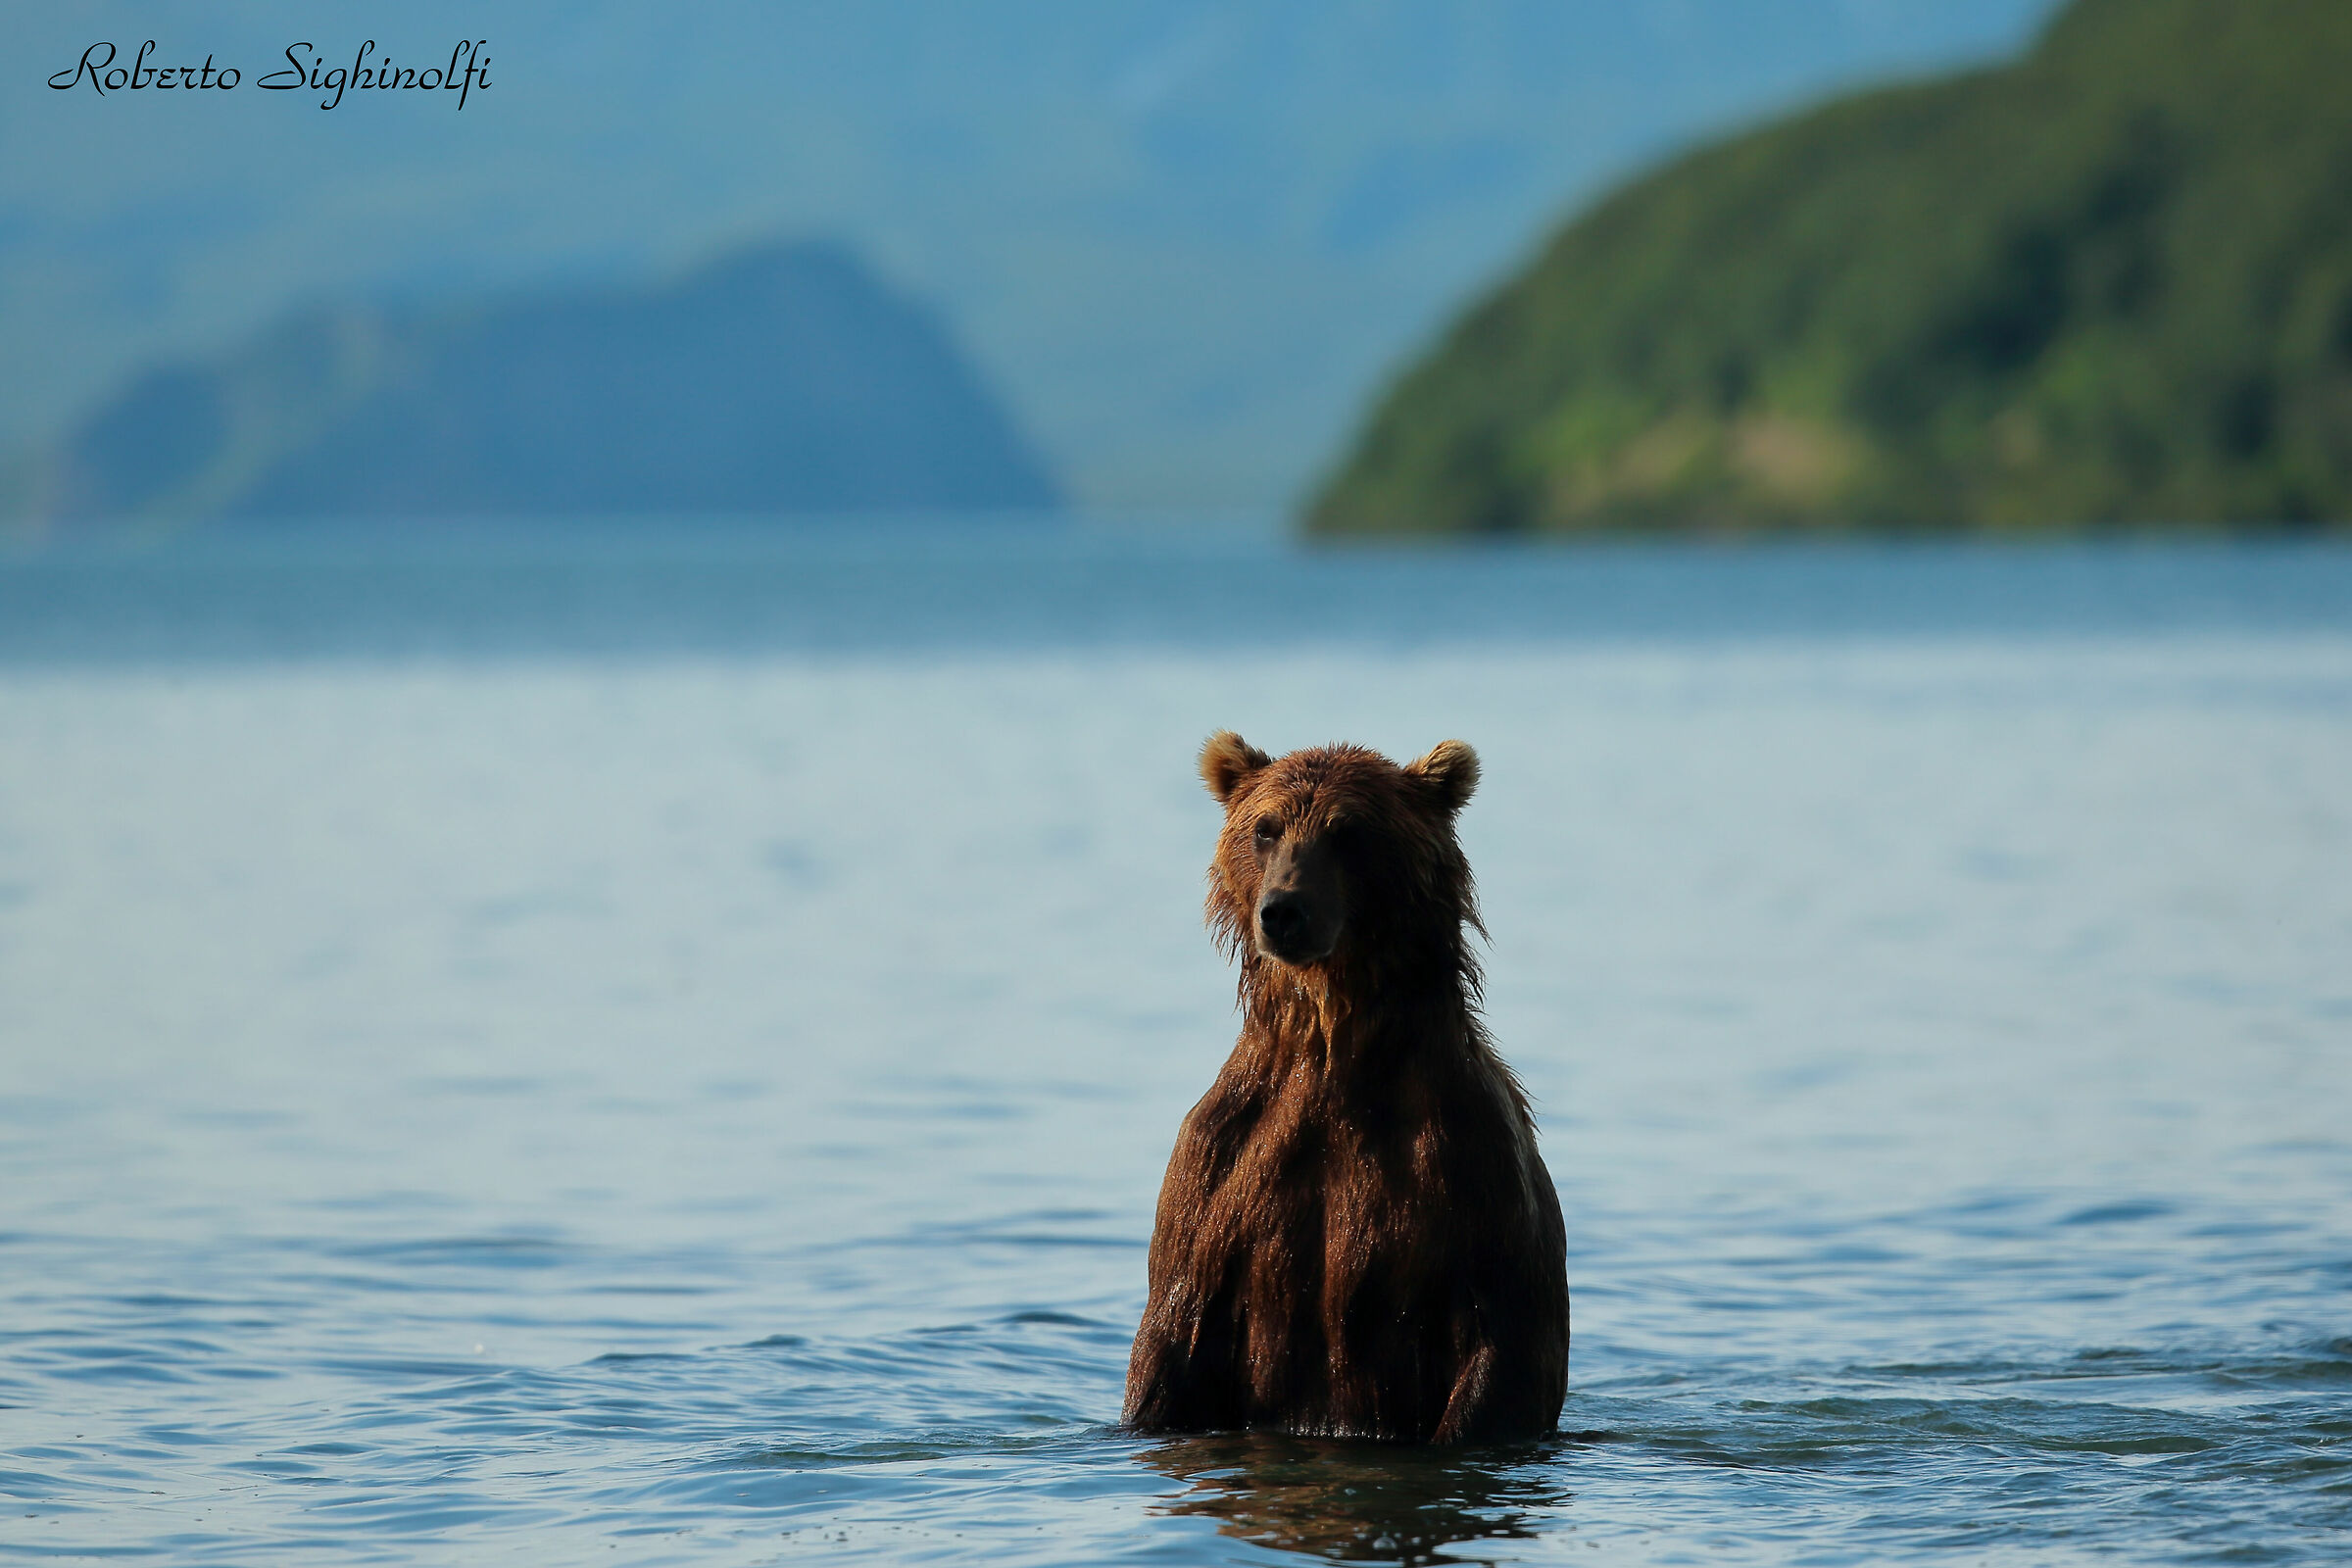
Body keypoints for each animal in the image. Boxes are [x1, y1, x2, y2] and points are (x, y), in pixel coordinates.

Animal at [1122, 731, 1569, 1445]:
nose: (1283, 912)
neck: (1334, 1042)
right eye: (1266, 828)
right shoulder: (1216, 1175)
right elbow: (1170, 1338)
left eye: (1349, 832)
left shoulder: (1472, 1170)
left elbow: (1504, 1344)